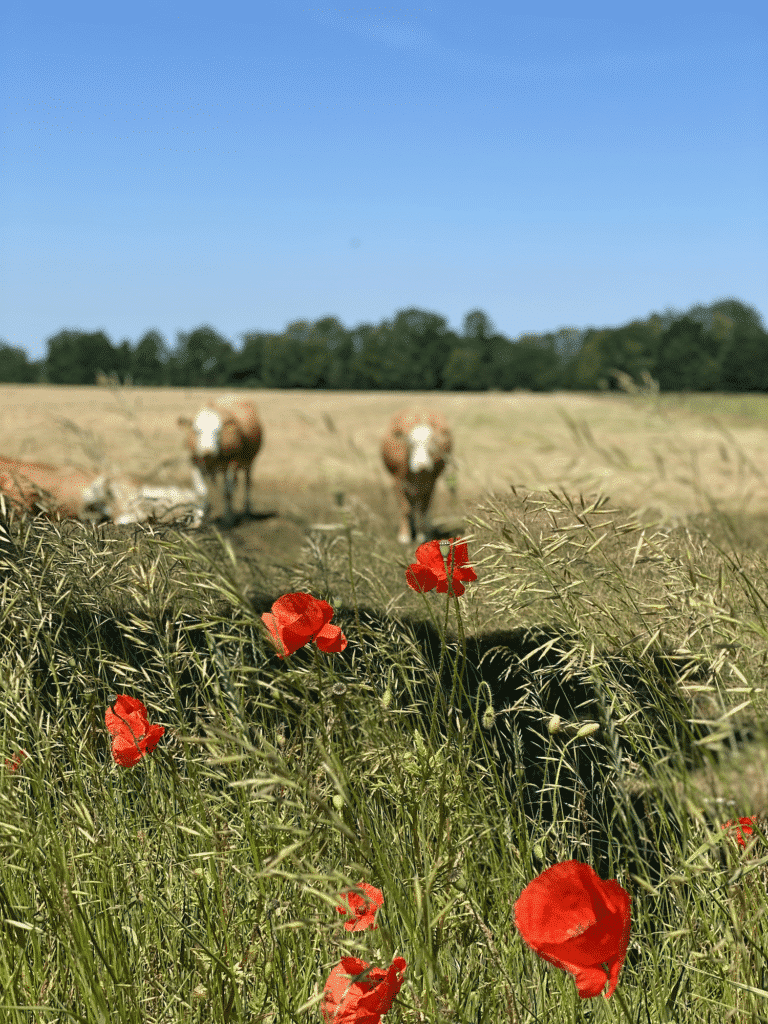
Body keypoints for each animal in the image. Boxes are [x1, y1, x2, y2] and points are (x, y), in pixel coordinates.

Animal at [178, 389, 264, 524]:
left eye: (218, 431)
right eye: (196, 431)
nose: (207, 451)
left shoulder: (232, 463)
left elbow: (227, 492)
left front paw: (228, 518)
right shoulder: (195, 461)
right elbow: (201, 491)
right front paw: (199, 517)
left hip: (249, 462)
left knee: (247, 484)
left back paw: (247, 511)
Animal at [382, 407, 454, 544]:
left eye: (432, 443)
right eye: (410, 443)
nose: (422, 465)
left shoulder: (430, 484)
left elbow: (423, 510)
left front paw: (423, 535)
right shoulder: (398, 482)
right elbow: (405, 509)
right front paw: (404, 536)